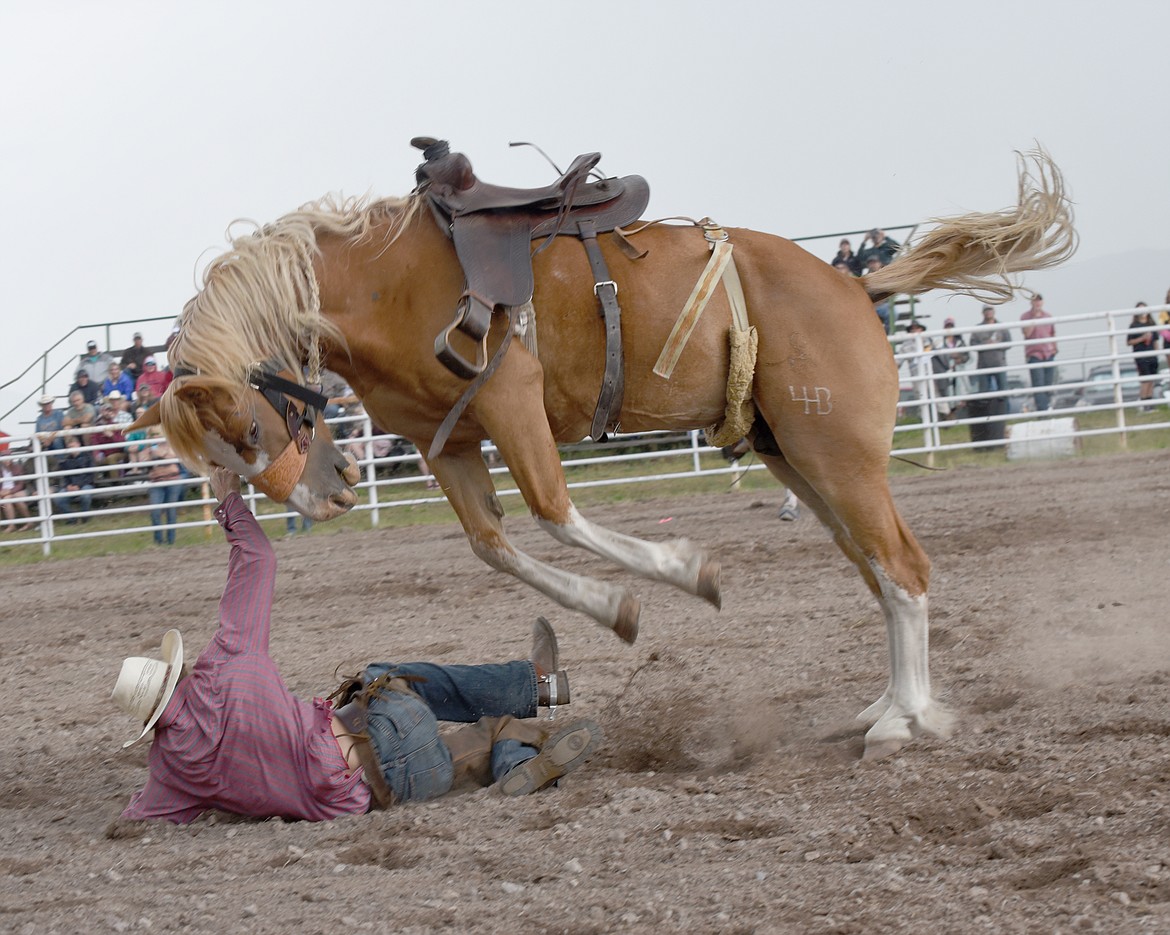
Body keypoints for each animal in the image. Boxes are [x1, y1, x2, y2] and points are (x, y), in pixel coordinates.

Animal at [136, 148, 1071, 758]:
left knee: (903, 568)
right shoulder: (451, 439)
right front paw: (615, 606)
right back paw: (883, 704)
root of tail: (853, 281)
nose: (328, 494)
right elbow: (495, 544)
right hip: (800, 459)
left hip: (839, 457)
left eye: (248, 433)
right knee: (878, 573)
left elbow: (556, 513)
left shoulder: (509, 398)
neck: (381, 282)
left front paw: (678, 573)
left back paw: (907, 719)